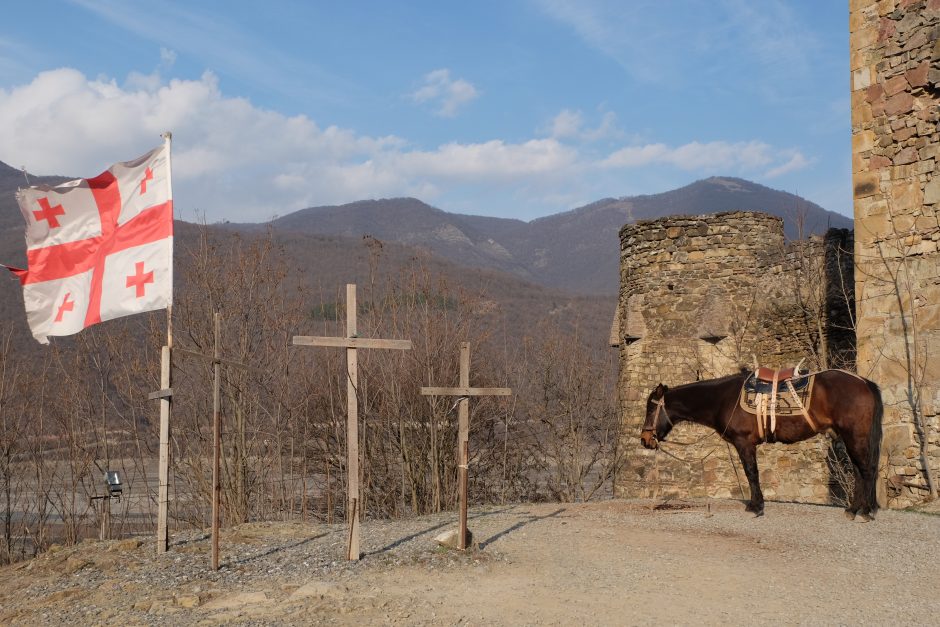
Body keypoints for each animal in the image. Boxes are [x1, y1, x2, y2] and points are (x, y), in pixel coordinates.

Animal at [640, 372, 880, 520]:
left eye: (651, 409)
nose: (644, 439)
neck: (724, 399)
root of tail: (863, 382)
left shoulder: (744, 442)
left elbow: (751, 473)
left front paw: (755, 507)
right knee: (859, 470)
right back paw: (853, 509)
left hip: (854, 435)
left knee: (866, 469)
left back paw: (865, 511)